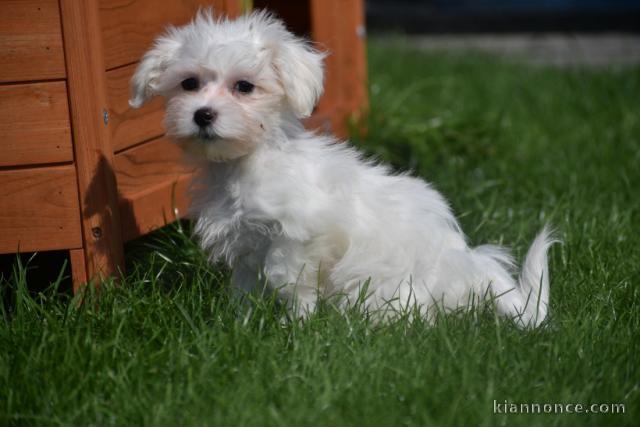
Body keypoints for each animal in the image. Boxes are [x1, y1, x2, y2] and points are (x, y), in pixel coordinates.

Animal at [130, 11, 556, 330]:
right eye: (189, 83)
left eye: (244, 87)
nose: (203, 114)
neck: (247, 163)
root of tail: (472, 270)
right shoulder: (246, 244)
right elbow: (245, 287)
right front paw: (240, 324)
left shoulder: (299, 237)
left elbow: (290, 282)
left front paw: (293, 326)